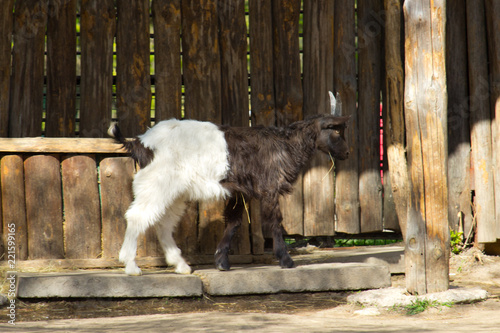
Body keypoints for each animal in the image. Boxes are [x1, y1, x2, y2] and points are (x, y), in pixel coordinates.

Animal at [108, 91, 352, 274]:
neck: (285, 144)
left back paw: (181, 265)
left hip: (174, 192)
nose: (347, 153)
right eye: (336, 130)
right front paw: (286, 260)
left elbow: (233, 223)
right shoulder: (269, 187)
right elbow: (274, 222)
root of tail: (141, 143)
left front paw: (221, 261)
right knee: (137, 217)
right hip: (156, 184)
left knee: (164, 224)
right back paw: (131, 266)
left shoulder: (239, 192)